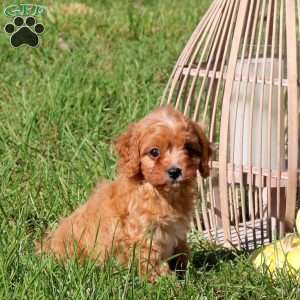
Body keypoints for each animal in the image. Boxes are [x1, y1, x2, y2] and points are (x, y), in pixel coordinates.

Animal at [37, 105, 211, 282]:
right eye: (154, 152)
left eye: (188, 148)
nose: (175, 171)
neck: (162, 193)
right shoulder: (144, 233)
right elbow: (153, 260)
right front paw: (167, 282)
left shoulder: (178, 230)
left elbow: (182, 249)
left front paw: (187, 270)